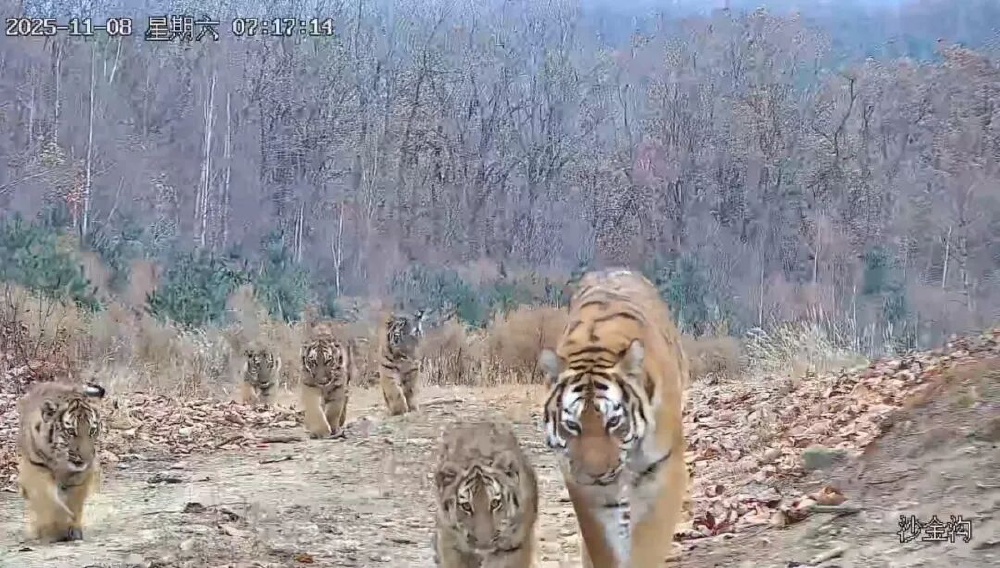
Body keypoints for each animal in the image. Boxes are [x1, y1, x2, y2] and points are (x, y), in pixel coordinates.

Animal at [17, 381, 107, 543]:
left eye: (92, 431)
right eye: (71, 432)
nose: (86, 456)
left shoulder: (81, 474)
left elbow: (74, 501)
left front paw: (73, 528)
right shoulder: (36, 468)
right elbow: (49, 502)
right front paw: (57, 529)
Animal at [538, 268, 690, 568]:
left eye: (613, 422)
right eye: (572, 425)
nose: (596, 474)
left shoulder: (661, 471)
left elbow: (648, 545)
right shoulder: (584, 487)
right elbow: (603, 546)